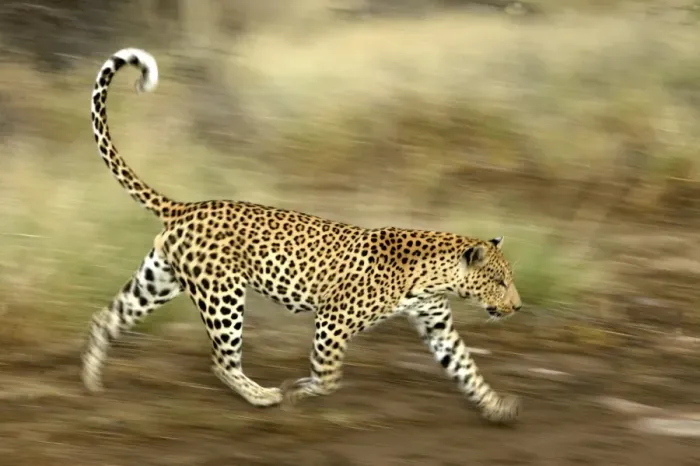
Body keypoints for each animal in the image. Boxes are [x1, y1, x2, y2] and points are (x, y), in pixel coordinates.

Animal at [81, 47, 524, 425]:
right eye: (499, 281)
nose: (518, 307)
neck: (436, 278)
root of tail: (186, 207)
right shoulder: (333, 318)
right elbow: (328, 375)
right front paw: (300, 389)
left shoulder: (438, 327)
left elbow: (467, 369)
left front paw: (497, 407)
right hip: (222, 294)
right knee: (221, 359)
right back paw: (262, 395)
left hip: (158, 282)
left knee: (106, 317)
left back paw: (90, 381)